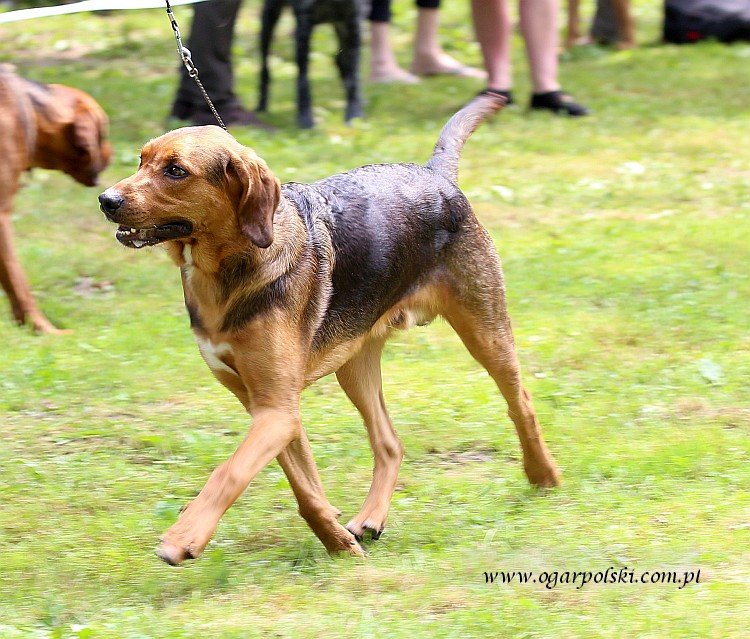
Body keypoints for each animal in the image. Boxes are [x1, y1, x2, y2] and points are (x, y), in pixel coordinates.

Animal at [0, 65, 111, 336]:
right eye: (104, 133)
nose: (112, 152)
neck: (31, 109)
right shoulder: (1, 218)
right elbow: (18, 283)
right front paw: (42, 330)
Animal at [98, 94, 560, 564]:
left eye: (176, 170)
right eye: (141, 160)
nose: (105, 199)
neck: (230, 268)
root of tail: (435, 173)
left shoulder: (276, 410)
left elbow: (229, 473)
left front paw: (183, 537)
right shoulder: (268, 408)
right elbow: (304, 489)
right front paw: (338, 543)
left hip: (485, 332)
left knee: (521, 402)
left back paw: (543, 476)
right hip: (354, 366)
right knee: (390, 443)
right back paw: (370, 518)